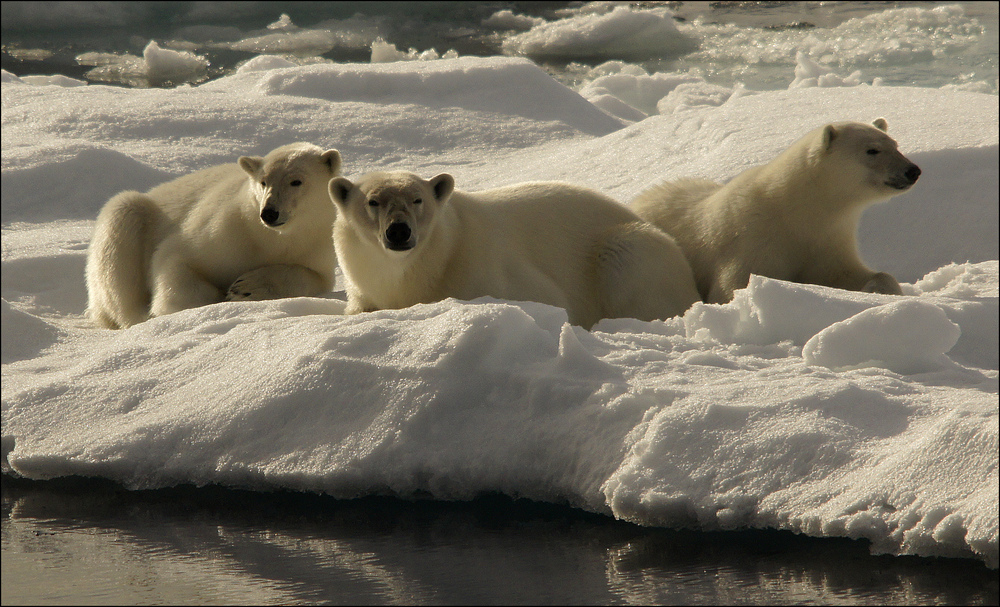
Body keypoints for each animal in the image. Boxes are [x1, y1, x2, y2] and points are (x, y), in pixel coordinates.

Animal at [87, 142, 344, 328]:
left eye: (296, 181)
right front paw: (216, 301)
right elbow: (175, 259)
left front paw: (247, 288)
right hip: (131, 218)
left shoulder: (315, 242)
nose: (269, 213)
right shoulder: (224, 230)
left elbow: (313, 277)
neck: (269, 237)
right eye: (263, 182)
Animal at [326, 171, 696, 330]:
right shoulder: (365, 283)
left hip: (629, 247)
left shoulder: (485, 267)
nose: (399, 231)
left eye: (418, 199)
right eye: (373, 201)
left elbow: (551, 301)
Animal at [632, 119, 920, 306]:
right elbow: (732, 287)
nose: (913, 170)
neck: (794, 210)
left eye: (895, 144)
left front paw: (878, 289)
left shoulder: (828, 238)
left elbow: (842, 273)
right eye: (872, 150)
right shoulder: (753, 237)